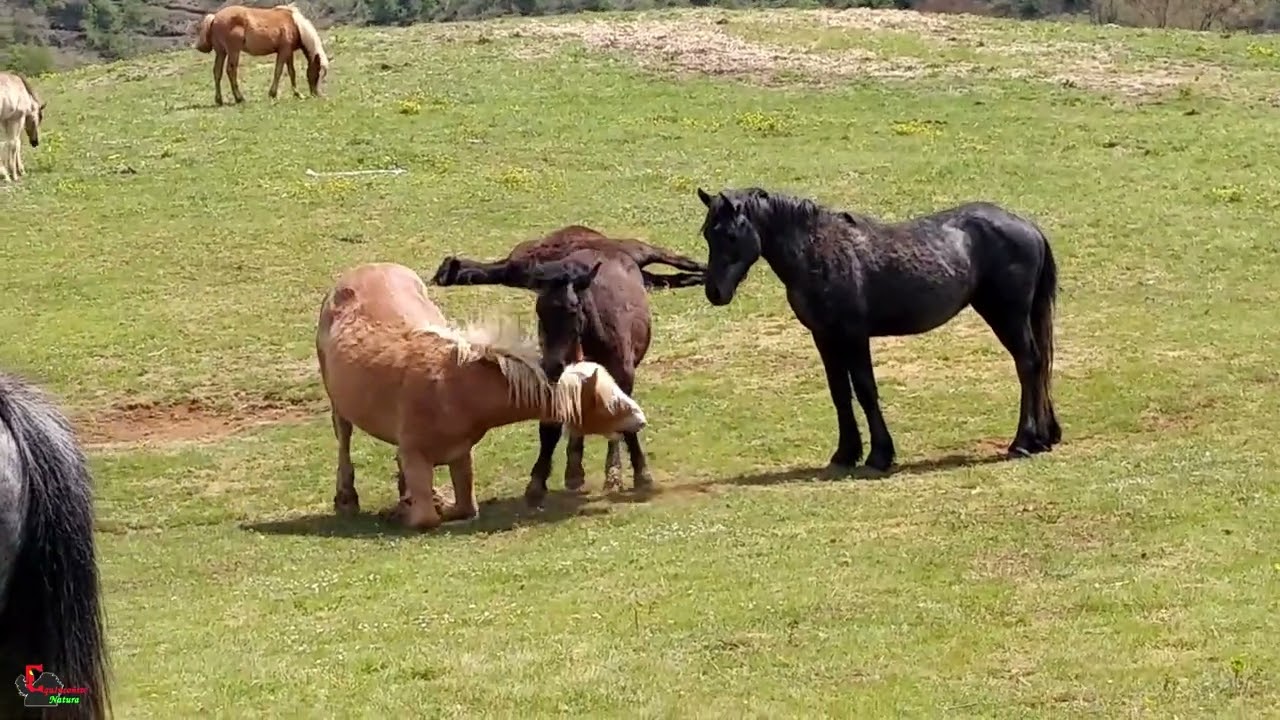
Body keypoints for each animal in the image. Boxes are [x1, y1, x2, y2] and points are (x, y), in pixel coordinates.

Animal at [193, 3, 330, 106]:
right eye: (317, 72)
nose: (317, 94)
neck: (295, 25)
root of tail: (215, 17)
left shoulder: (288, 52)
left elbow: (292, 72)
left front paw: (297, 94)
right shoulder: (284, 51)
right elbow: (278, 71)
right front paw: (273, 94)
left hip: (221, 52)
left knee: (217, 72)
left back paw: (219, 100)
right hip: (233, 52)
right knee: (231, 71)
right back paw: (239, 98)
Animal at [315, 262, 648, 530]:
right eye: (608, 402)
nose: (641, 419)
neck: (455, 385)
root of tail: (366, 268)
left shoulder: (460, 454)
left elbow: (466, 507)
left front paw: (429, 500)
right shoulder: (414, 454)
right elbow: (427, 518)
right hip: (338, 405)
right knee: (343, 437)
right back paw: (346, 497)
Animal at [694, 186, 1061, 474]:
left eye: (730, 235)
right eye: (707, 234)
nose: (714, 292)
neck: (820, 251)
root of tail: (1029, 227)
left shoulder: (855, 336)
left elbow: (865, 391)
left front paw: (879, 455)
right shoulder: (824, 337)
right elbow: (840, 393)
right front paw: (845, 453)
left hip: (1007, 317)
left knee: (1028, 364)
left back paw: (1023, 441)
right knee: (1038, 365)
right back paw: (1043, 438)